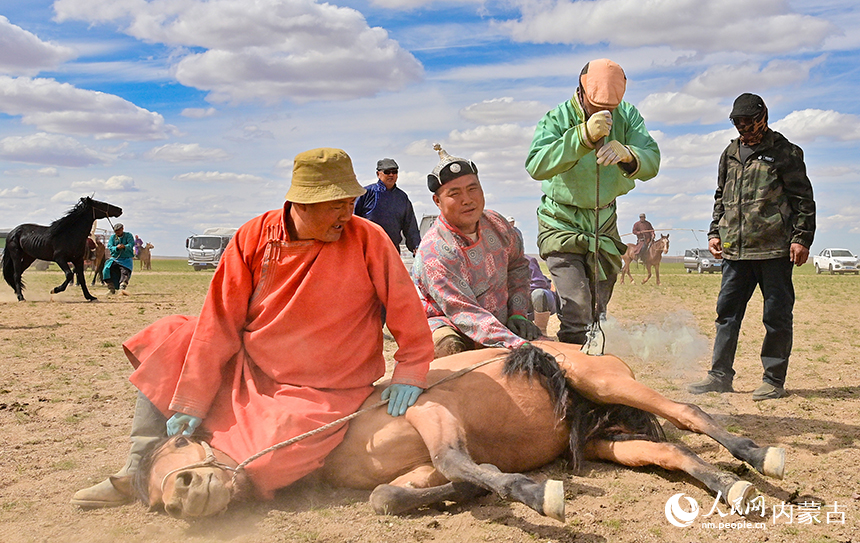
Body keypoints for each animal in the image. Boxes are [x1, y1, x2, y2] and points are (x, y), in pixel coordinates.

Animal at [119, 341, 784, 521]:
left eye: (178, 443)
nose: (177, 497)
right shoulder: (415, 463)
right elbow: (390, 495)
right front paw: (470, 492)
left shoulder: (430, 414)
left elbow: (458, 460)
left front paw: (533, 493)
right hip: (609, 439)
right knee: (673, 455)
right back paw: (733, 488)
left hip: (607, 384)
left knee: (691, 415)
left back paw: (761, 459)